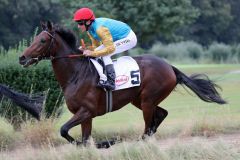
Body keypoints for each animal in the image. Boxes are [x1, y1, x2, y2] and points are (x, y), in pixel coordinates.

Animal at [19, 21, 227, 148]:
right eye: (35, 38)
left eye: (42, 40)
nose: (22, 58)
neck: (76, 74)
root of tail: (169, 66)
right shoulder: (85, 115)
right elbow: (84, 139)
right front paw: (99, 144)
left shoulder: (86, 111)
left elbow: (64, 131)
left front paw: (107, 142)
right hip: (138, 99)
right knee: (161, 114)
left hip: (147, 100)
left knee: (149, 123)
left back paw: (141, 142)